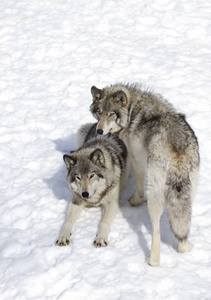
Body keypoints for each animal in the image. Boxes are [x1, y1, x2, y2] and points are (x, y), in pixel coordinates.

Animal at [89, 83, 199, 266]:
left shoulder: (137, 160)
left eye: (111, 114)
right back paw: (185, 246)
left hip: (155, 194)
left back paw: (152, 261)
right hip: (188, 193)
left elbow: (139, 186)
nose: (99, 131)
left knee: (156, 230)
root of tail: (177, 145)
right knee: (182, 222)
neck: (131, 110)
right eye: (99, 112)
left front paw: (136, 201)